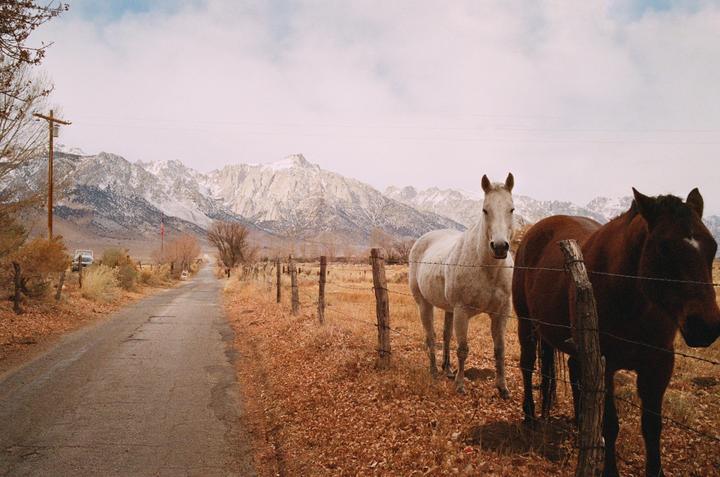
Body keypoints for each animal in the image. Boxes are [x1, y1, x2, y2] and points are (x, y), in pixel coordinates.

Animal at [409, 173, 515, 397]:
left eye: (511, 209)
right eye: (485, 209)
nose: (500, 247)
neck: (487, 268)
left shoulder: (501, 312)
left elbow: (499, 349)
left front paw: (502, 387)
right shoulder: (462, 311)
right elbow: (463, 349)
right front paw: (460, 384)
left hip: (449, 309)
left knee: (446, 336)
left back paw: (447, 369)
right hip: (424, 304)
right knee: (431, 337)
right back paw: (434, 370)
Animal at [512, 187, 720, 477]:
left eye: (712, 246)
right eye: (664, 247)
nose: (705, 326)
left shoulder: (659, 364)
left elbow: (652, 426)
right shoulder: (607, 363)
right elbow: (610, 423)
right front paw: (609, 469)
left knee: (575, 374)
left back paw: (581, 425)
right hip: (527, 325)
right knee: (528, 365)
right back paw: (530, 415)